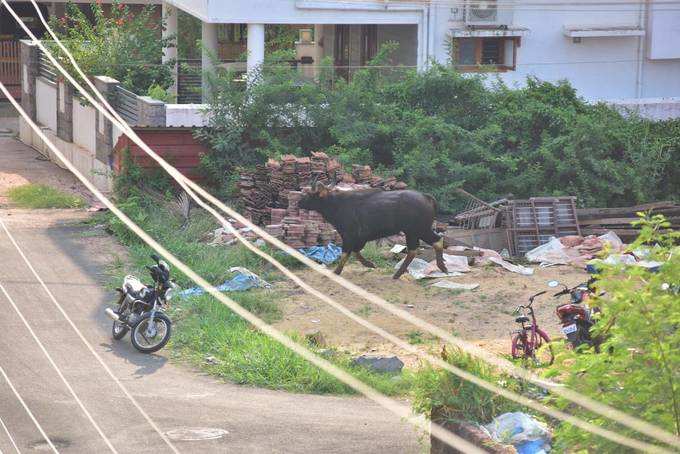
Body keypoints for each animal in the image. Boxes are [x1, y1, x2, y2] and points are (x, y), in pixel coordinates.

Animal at [296, 184, 446, 276]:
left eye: (310, 194)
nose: (299, 202)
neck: (338, 205)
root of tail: (426, 197)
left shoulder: (349, 236)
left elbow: (345, 253)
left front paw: (336, 272)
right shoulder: (360, 238)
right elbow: (355, 252)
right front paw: (370, 264)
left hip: (419, 230)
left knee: (435, 241)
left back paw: (441, 266)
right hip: (413, 232)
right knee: (416, 249)